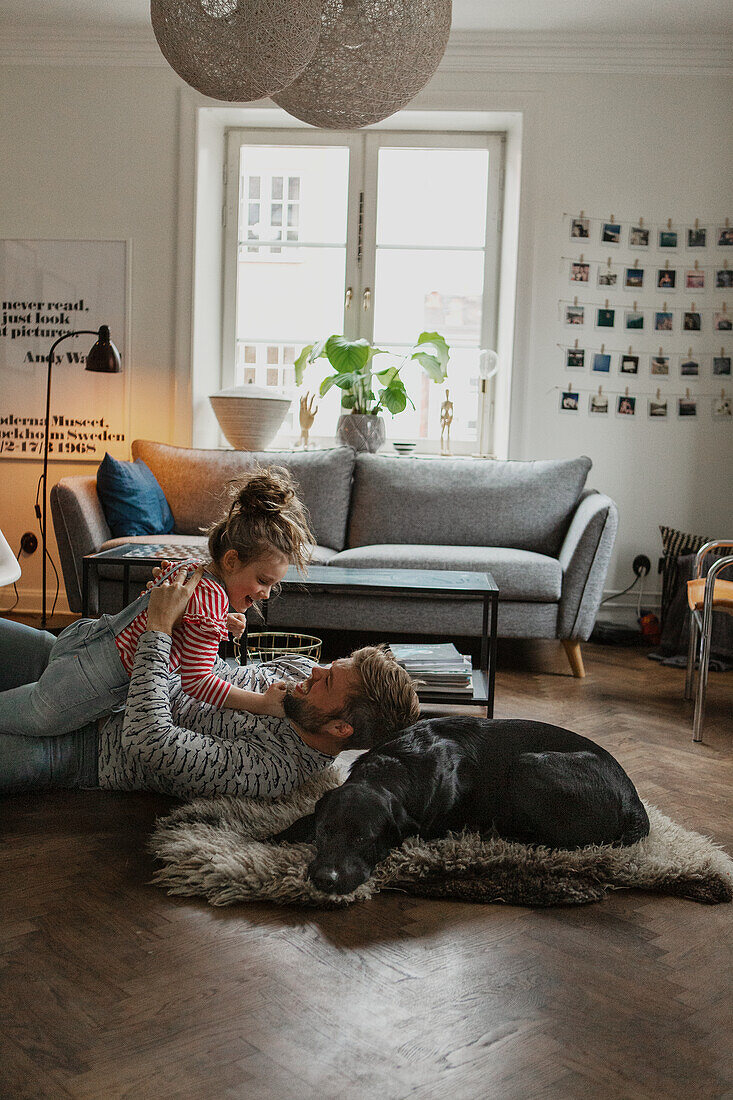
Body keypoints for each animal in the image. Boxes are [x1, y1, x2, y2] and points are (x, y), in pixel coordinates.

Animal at [272, 721, 647, 893]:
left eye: (364, 839)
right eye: (325, 832)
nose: (325, 879)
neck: (397, 766)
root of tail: (635, 803)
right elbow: (304, 817)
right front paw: (272, 837)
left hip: (527, 765)